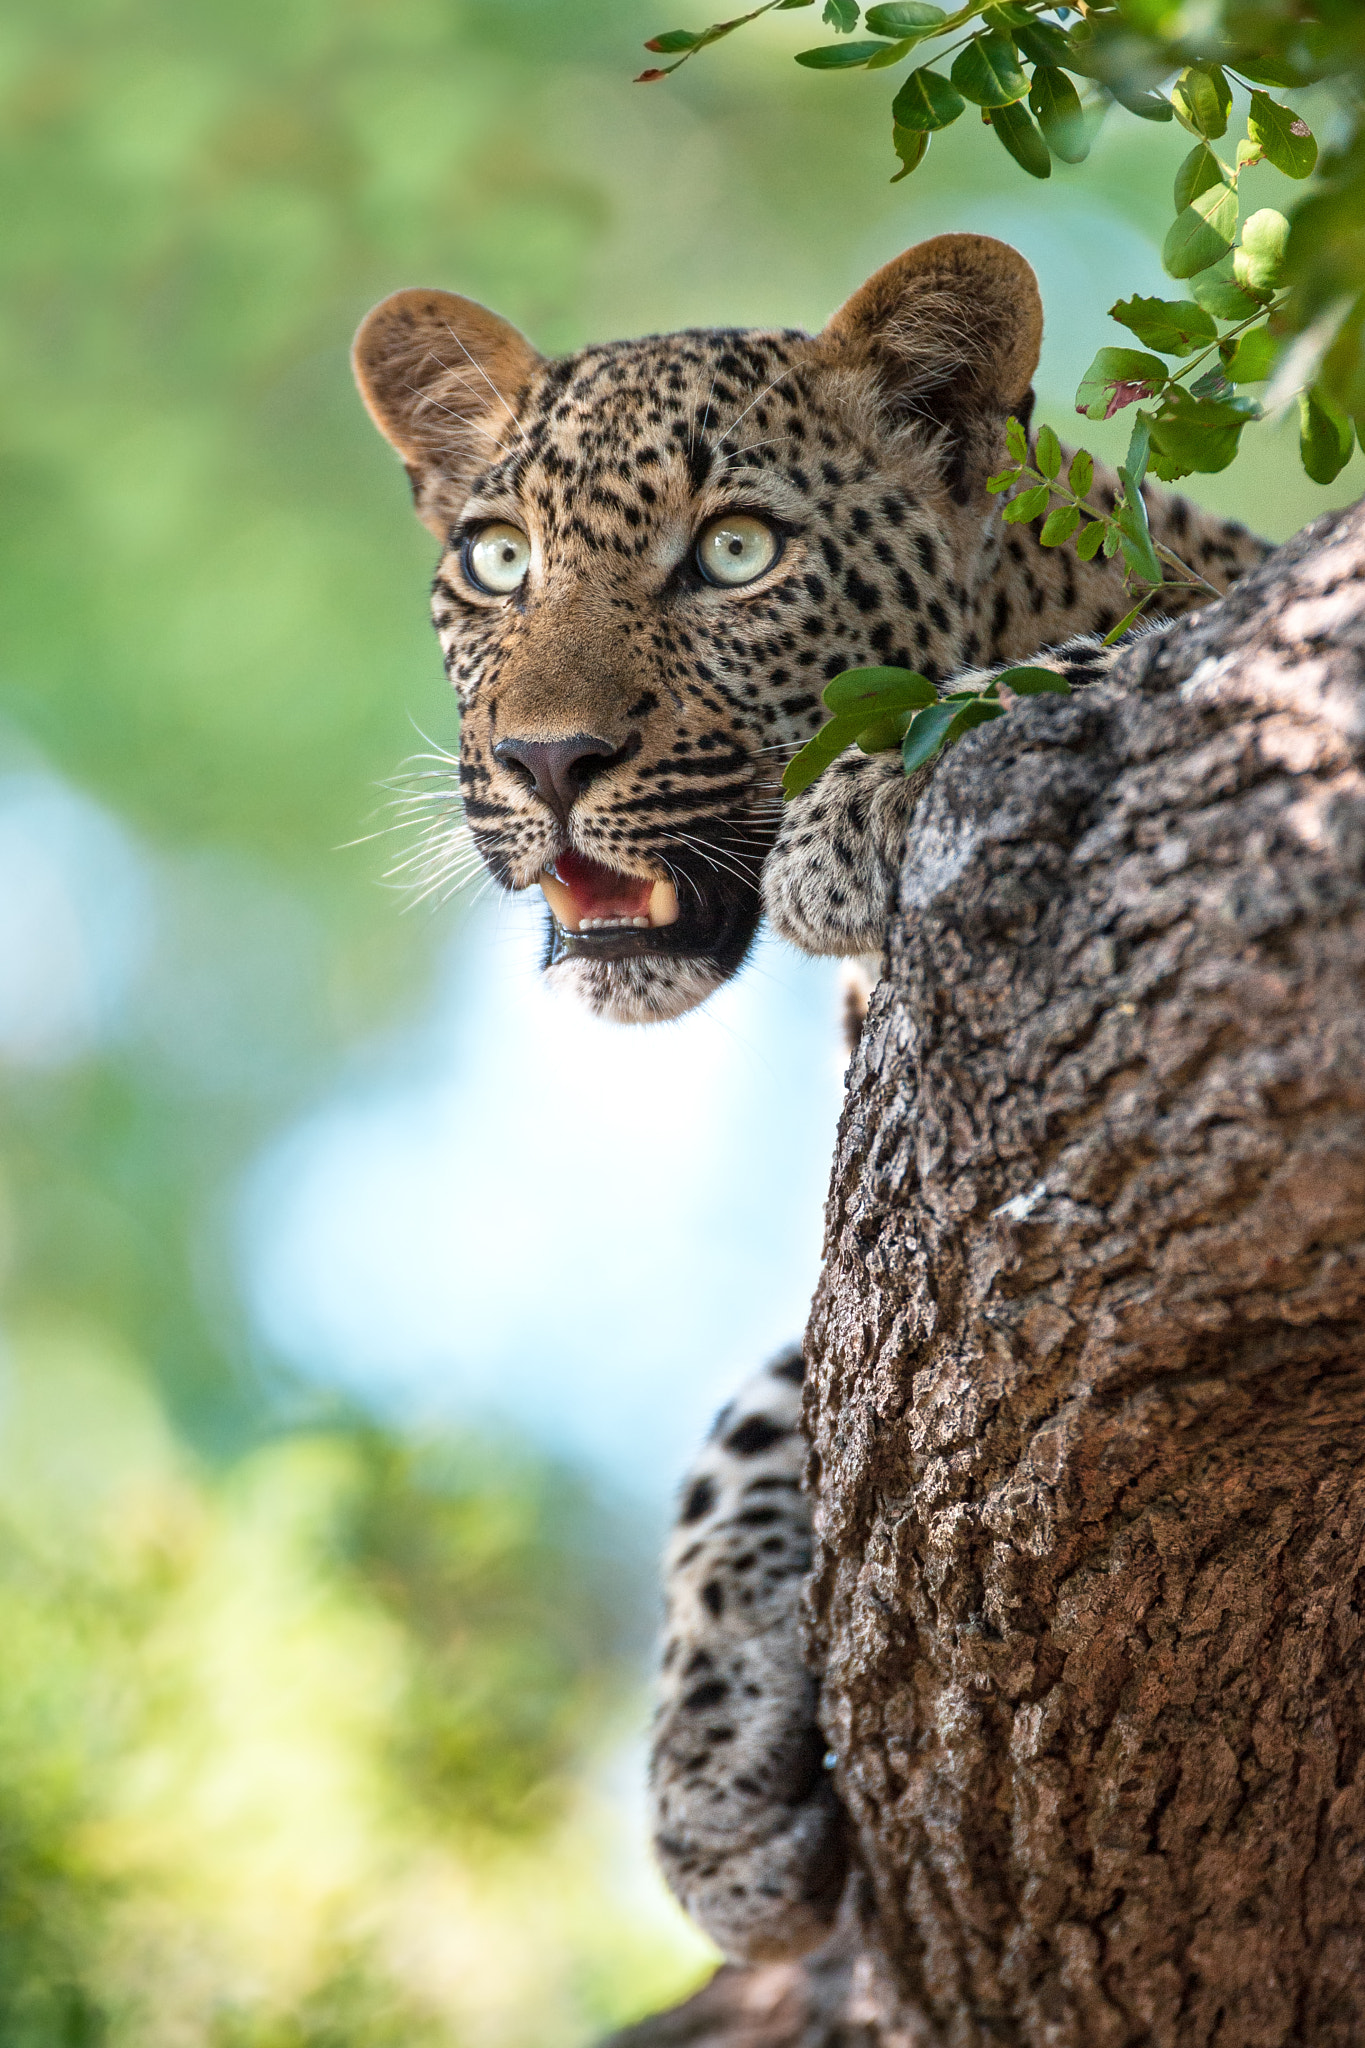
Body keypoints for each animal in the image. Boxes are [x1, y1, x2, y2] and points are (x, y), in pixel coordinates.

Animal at [351, 233, 1271, 1965]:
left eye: (734, 553)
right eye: (500, 560)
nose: (545, 761)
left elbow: (1162, 653)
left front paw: (883, 789)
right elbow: (739, 1430)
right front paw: (707, 1775)